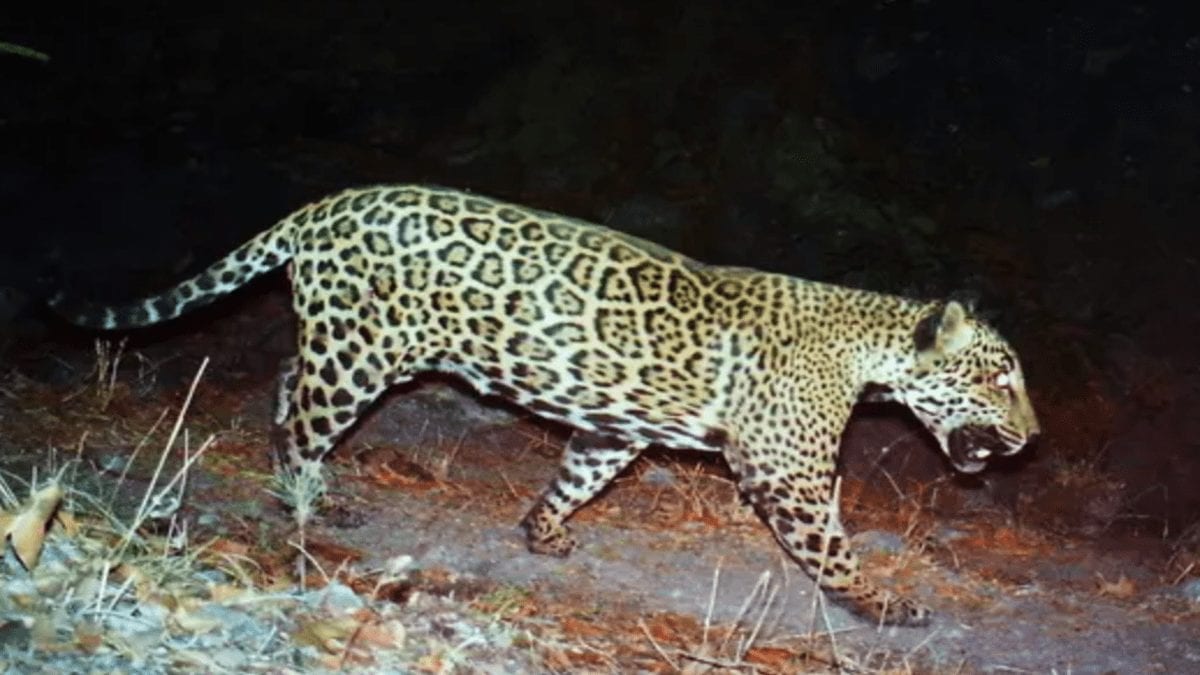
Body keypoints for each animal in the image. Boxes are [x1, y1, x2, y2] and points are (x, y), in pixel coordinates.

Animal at [52, 185, 1040, 626]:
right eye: (999, 376)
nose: (1033, 437)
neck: (867, 343)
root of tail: (326, 205)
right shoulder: (785, 466)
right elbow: (830, 542)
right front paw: (879, 601)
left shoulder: (614, 426)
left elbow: (579, 475)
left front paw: (544, 532)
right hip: (363, 355)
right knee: (304, 422)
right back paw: (305, 506)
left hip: (343, 345)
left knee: (287, 383)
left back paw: (313, 487)